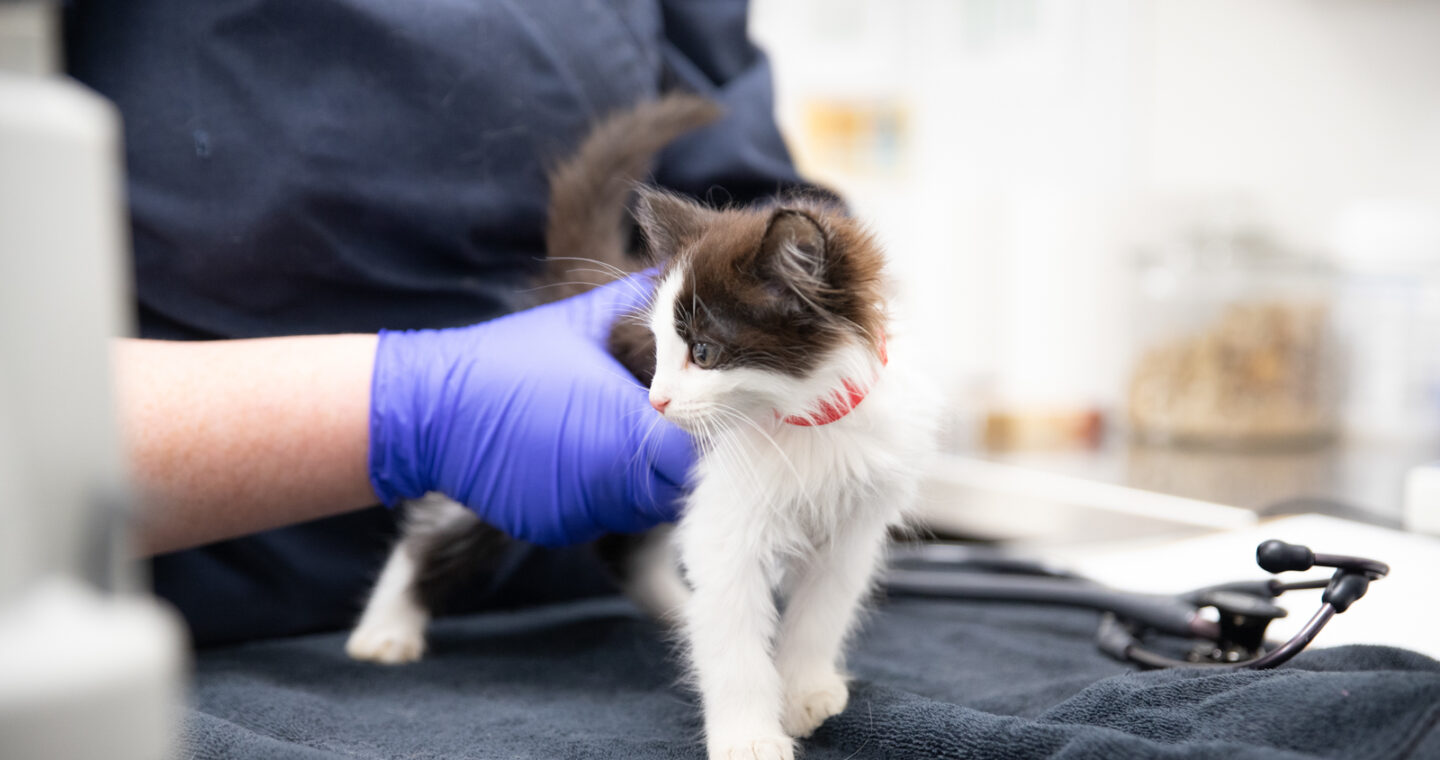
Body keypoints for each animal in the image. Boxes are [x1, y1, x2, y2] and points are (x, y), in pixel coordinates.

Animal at [344, 93, 938, 760]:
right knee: (438, 527)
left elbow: (822, 609)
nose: (655, 401)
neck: (809, 424)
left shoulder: (855, 520)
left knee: (628, 549)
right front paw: (750, 735)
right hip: (496, 458)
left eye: (703, 352)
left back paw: (680, 615)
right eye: (657, 349)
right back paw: (385, 628)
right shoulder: (732, 514)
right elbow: (733, 631)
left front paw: (804, 688)